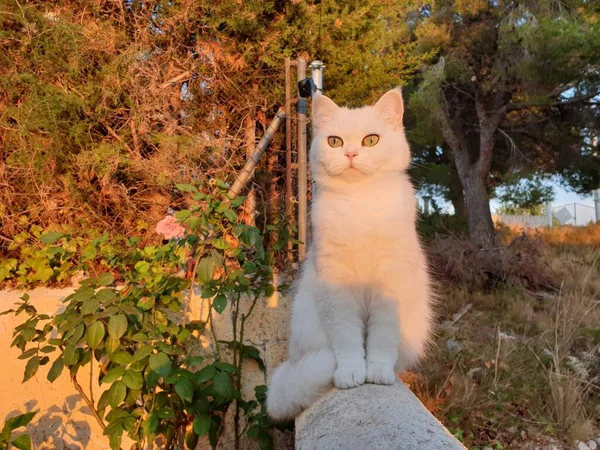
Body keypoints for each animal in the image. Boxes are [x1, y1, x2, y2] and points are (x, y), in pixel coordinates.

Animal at [266, 89, 432, 422]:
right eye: (334, 141)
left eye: (371, 140)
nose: (351, 154)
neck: (359, 202)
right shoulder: (336, 287)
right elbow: (346, 338)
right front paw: (351, 374)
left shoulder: (390, 284)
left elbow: (382, 336)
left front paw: (377, 372)